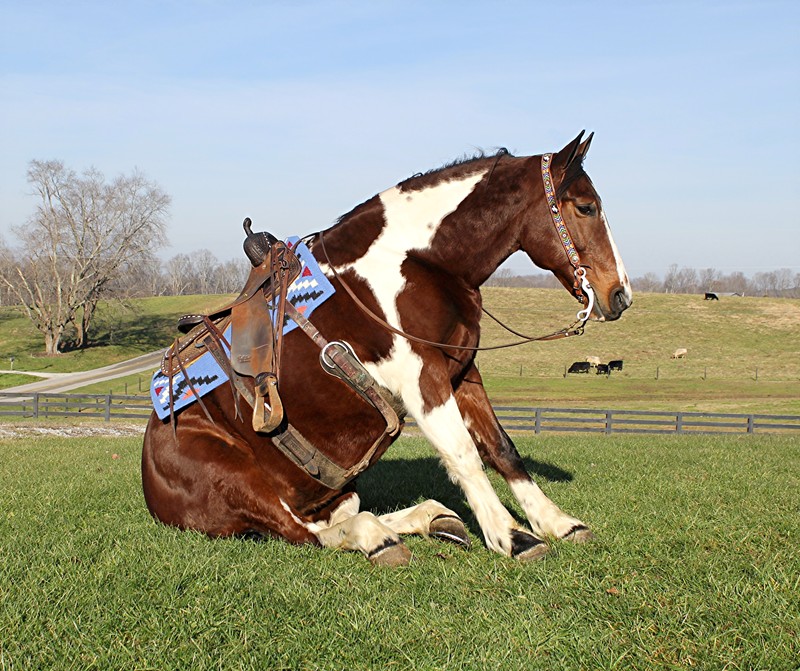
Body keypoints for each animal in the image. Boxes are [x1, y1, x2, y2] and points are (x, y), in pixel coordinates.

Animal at [142, 131, 632, 565]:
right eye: (586, 207)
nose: (620, 295)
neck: (417, 261)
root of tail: (151, 477)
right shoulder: (421, 375)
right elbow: (465, 455)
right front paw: (511, 536)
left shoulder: (462, 372)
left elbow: (501, 447)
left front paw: (555, 522)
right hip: (238, 480)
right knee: (303, 532)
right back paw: (378, 537)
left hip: (330, 493)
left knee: (334, 518)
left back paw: (432, 518)